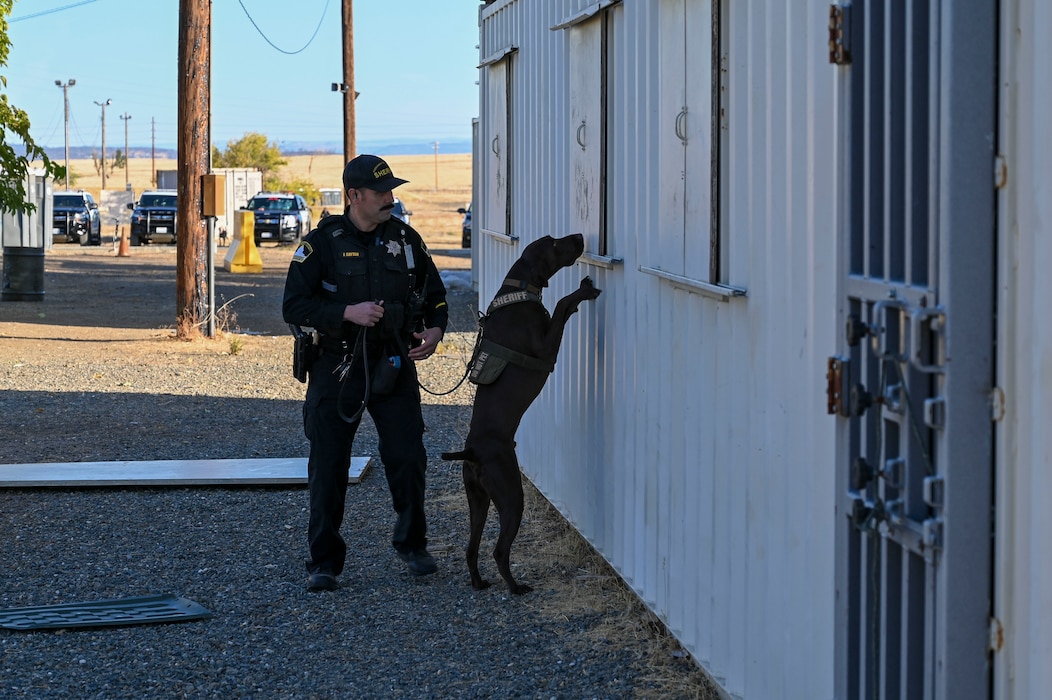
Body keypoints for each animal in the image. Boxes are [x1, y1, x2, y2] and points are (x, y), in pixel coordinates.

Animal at [439, 231, 601, 593]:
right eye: (554, 244)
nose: (580, 235)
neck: (519, 290)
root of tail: (471, 452)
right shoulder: (545, 348)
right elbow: (562, 304)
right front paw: (583, 291)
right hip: (511, 495)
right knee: (499, 549)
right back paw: (515, 587)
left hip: (478, 498)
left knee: (472, 547)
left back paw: (479, 582)